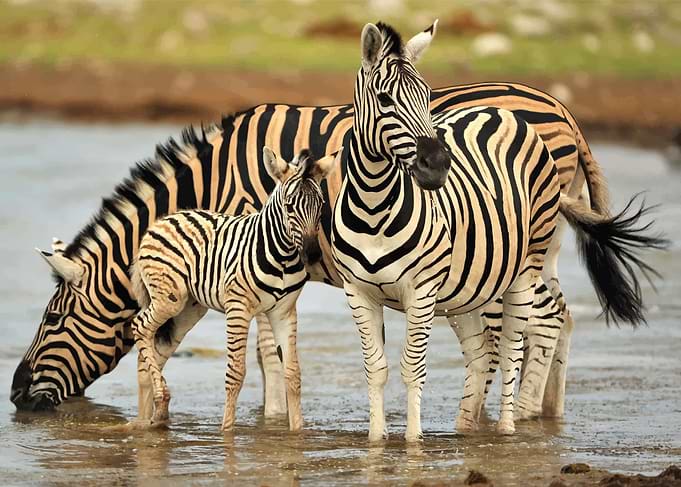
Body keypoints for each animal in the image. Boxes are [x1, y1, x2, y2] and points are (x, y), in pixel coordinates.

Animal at [129, 147, 337, 431]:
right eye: (289, 206)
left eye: (322, 205)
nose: (313, 255)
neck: (282, 256)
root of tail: (163, 219)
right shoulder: (238, 307)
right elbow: (236, 373)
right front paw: (226, 431)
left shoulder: (284, 311)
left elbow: (293, 373)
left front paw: (297, 431)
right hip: (169, 298)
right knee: (140, 326)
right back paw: (161, 400)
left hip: (188, 307)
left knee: (150, 338)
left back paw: (154, 413)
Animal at [331, 21, 667, 440]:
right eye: (384, 99)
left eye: (427, 97)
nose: (437, 165)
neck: (375, 206)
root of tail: (504, 113)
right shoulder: (358, 292)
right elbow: (376, 369)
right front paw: (376, 442)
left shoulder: (420, 291)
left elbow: (413, 368)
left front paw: (413, 443)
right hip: (472, 285)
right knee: (484, 350)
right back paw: (468, 428)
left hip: (524, 269)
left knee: (512, 346)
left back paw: (508, 427)